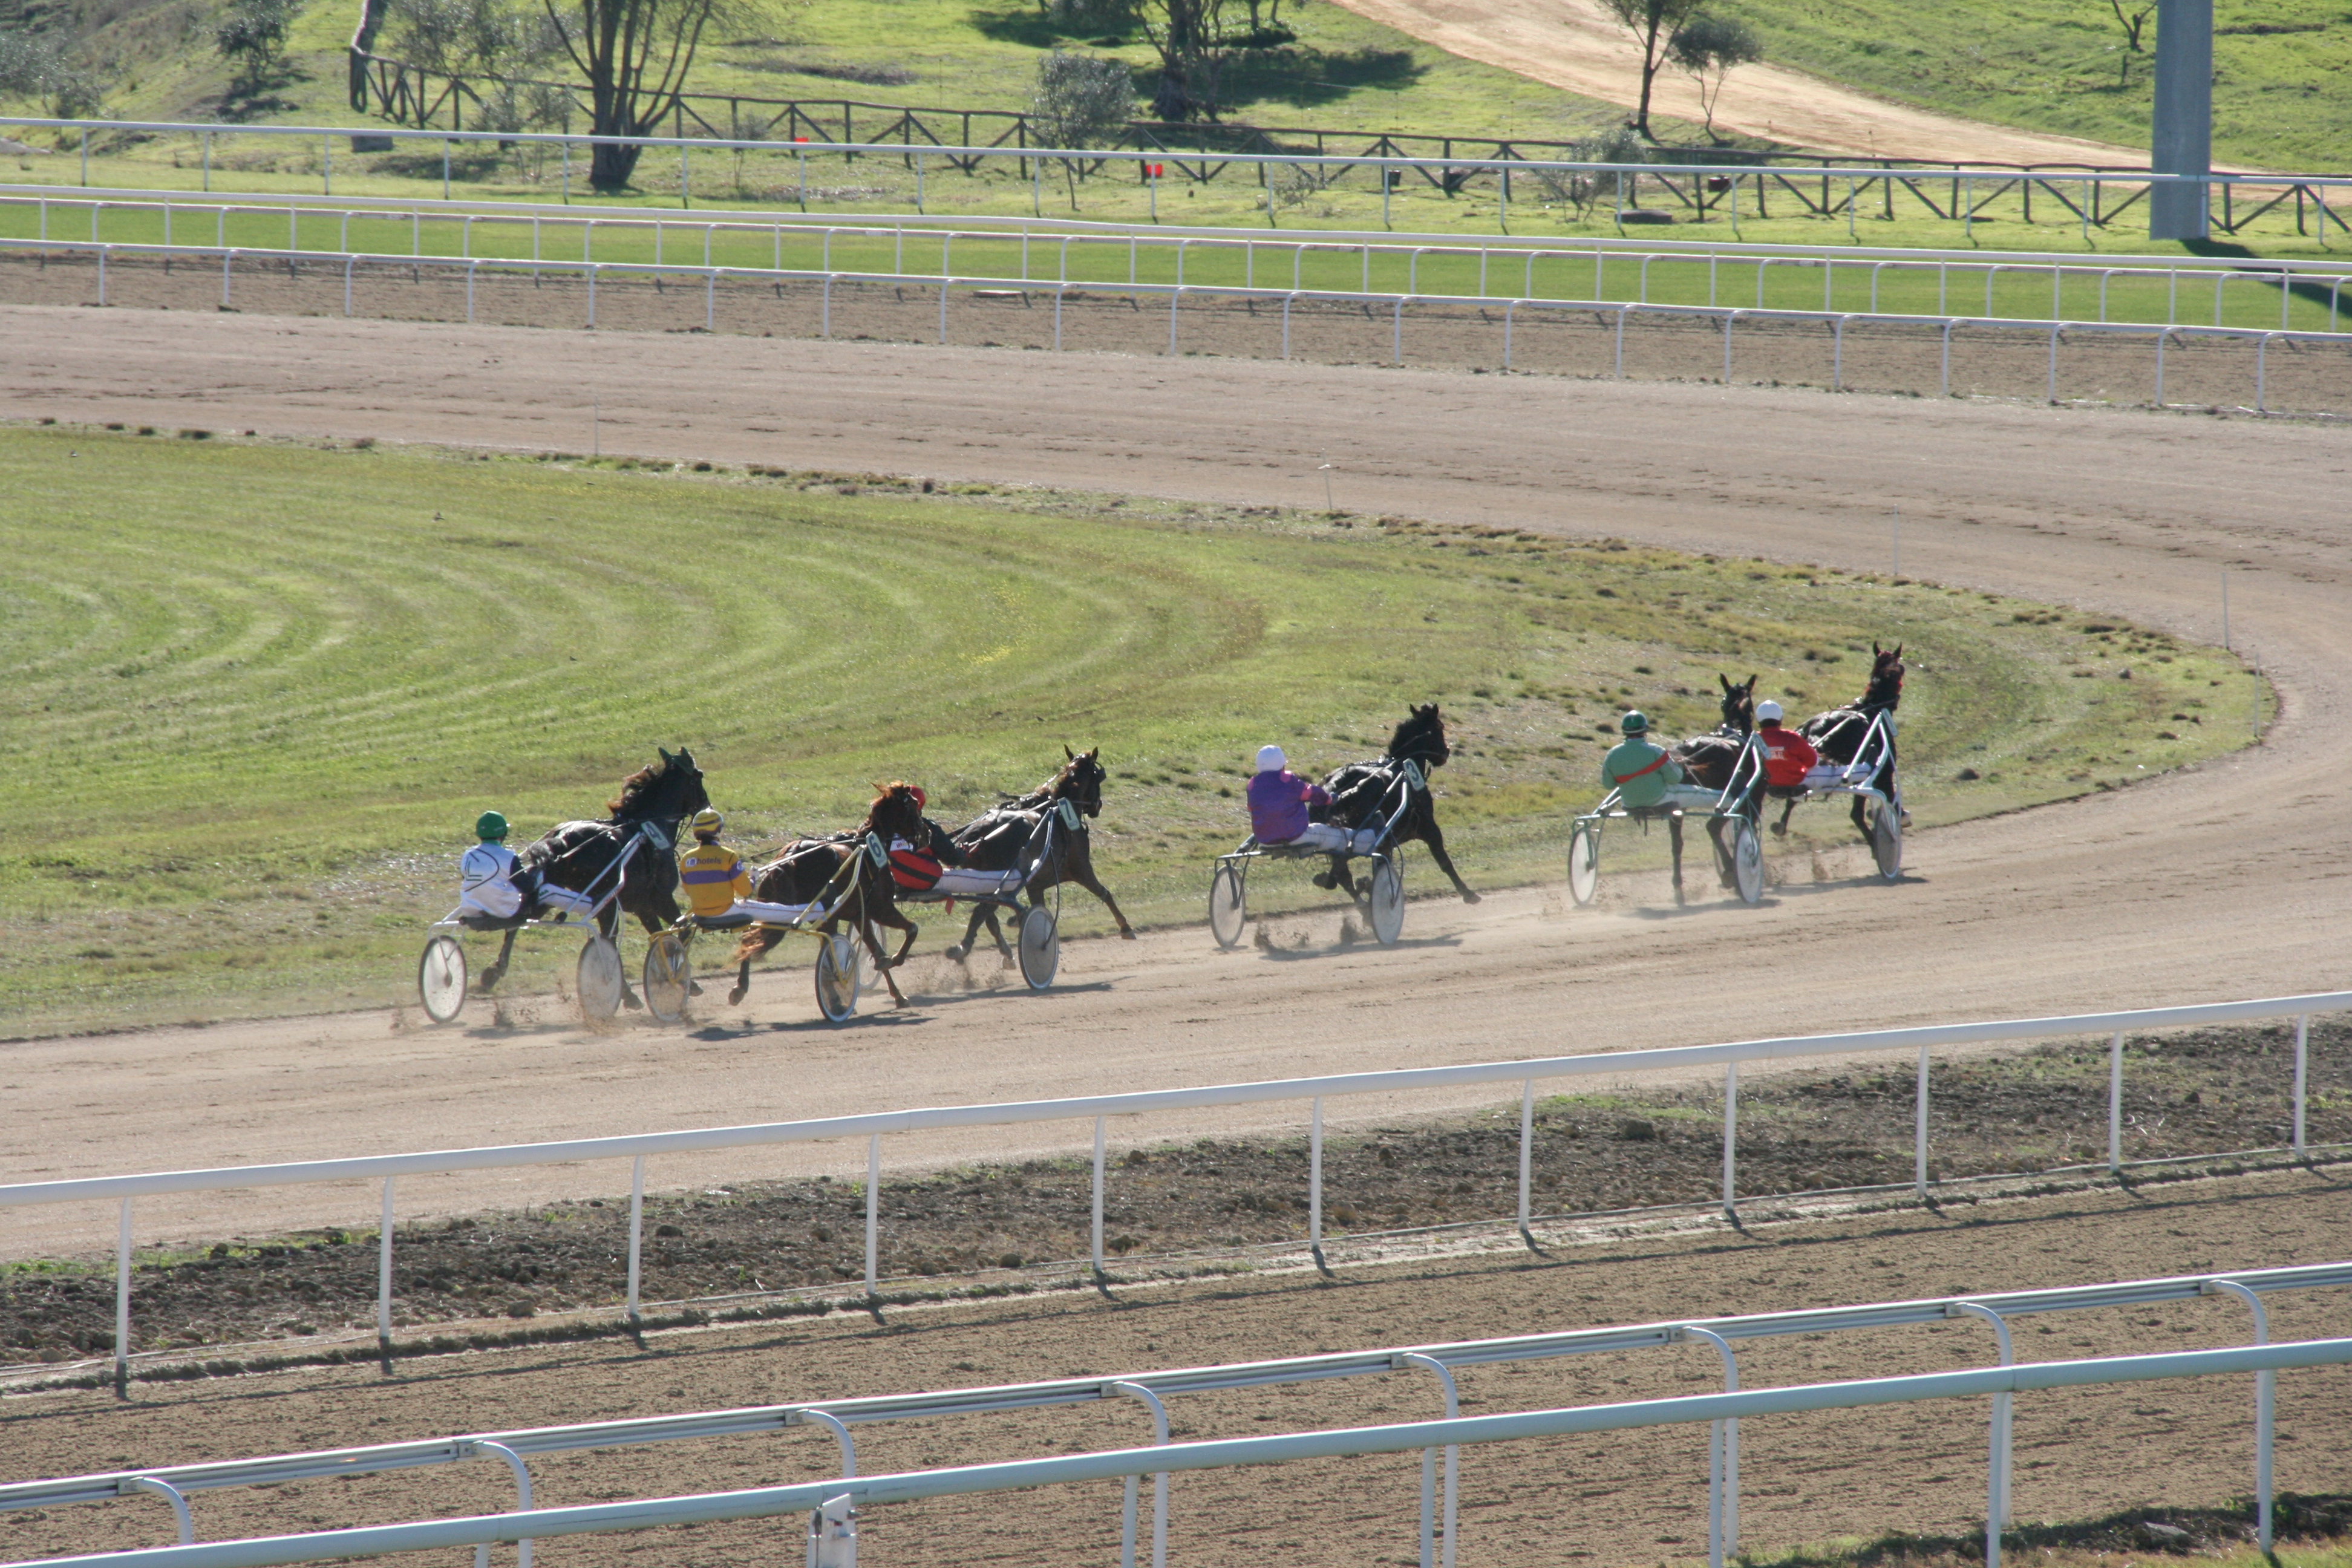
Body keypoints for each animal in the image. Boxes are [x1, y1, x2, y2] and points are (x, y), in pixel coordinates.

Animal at [491, 747, 710, 1006]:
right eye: (699, 776)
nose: (707, 807)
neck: (648, 828)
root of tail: (563, 836)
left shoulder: (642, 906)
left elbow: (658, 935)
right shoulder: (661, 897)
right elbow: (680, 931)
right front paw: (679, 977)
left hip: (552, 893)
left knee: (518, 923)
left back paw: (492, 974)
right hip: (605, 903)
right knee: (607, 941)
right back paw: (624, 991)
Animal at [724, 780, 926, 1006]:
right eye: (915, 806)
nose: (926, 834)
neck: (867, 845)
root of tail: (792, 855)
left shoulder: (859, 915)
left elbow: (874, 949)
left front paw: (895, 990)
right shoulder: (879, 908)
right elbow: (911, 930)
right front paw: (894, 964)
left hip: (778, 905)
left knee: (750, 938)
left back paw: (740, 988)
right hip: (826, 915)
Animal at [941, 742, 1134, 964]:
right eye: (1099, 776)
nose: (1097, 807)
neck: (1060, 811)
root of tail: (983, 829)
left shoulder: (1035, 884)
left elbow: (1035, 908)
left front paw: (1018, 921)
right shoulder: (1081, 869)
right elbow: (1104, 893)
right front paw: (1125, 927)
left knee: (988, 915)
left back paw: (1003, 951)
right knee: (982, 911)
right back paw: (964, 948)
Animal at [1317, 701, 1477, 903]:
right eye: (1441, 726)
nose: (1446, 752)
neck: (1402, 766)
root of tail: (1336, 786)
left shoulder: (1385, 843)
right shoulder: (1428, 827)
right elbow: (1444, 860)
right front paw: (1468, 893)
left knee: (1342, 874)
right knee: (1341, 868)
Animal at [1778, 644, 1910, 841]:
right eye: (1901, 669)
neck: (1873, 710)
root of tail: (1814, 727)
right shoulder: (1883, 771)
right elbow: (1889, 798)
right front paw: (1900, 818)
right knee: (1856, 814)